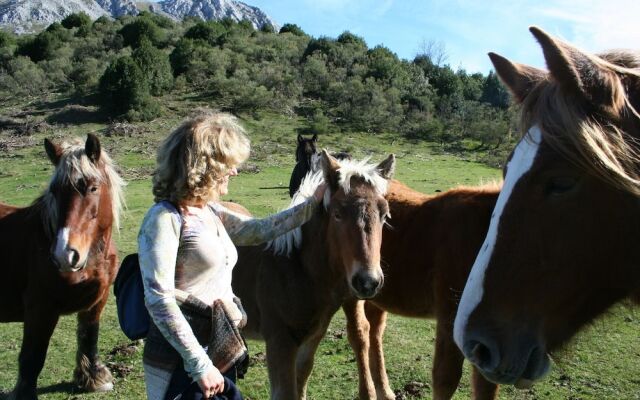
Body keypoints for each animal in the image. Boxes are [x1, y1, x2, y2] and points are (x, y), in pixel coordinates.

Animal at [0, 135, 124, 400]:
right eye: (55, 192)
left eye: (92, 188)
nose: (64, 255)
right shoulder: (40, 309)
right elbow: (32, 357)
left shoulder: (98, 300)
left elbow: (88, 337)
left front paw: (93, 379)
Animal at [235, 151, 396, 400]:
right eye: (337, 214)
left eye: (384, 214)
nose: (368, 282)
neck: (296, 270)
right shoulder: (279, 342)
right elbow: (285, 392)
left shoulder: (312, 337)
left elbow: (302, 378)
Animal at [342, 180, 502, 400]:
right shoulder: (449, 317)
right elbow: (446, 379)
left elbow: (486, 387)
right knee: (360, 334)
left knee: (375, 330)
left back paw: (384, 389)